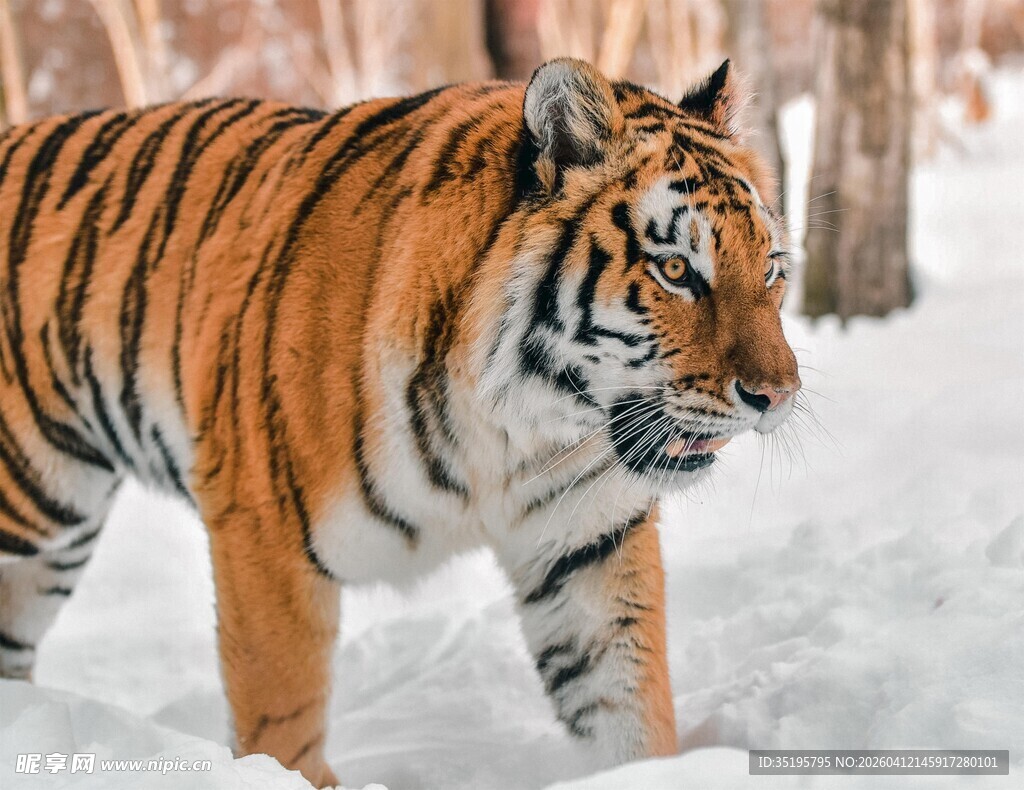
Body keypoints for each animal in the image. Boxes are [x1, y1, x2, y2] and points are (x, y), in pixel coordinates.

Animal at [0, 58, 800, 786]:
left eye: (771, 269)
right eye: (676, 270)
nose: (778, 395)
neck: (519, 426)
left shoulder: (587, 541)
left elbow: (626, 707)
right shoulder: (263, 536)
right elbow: (282, 718)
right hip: (33, 502)